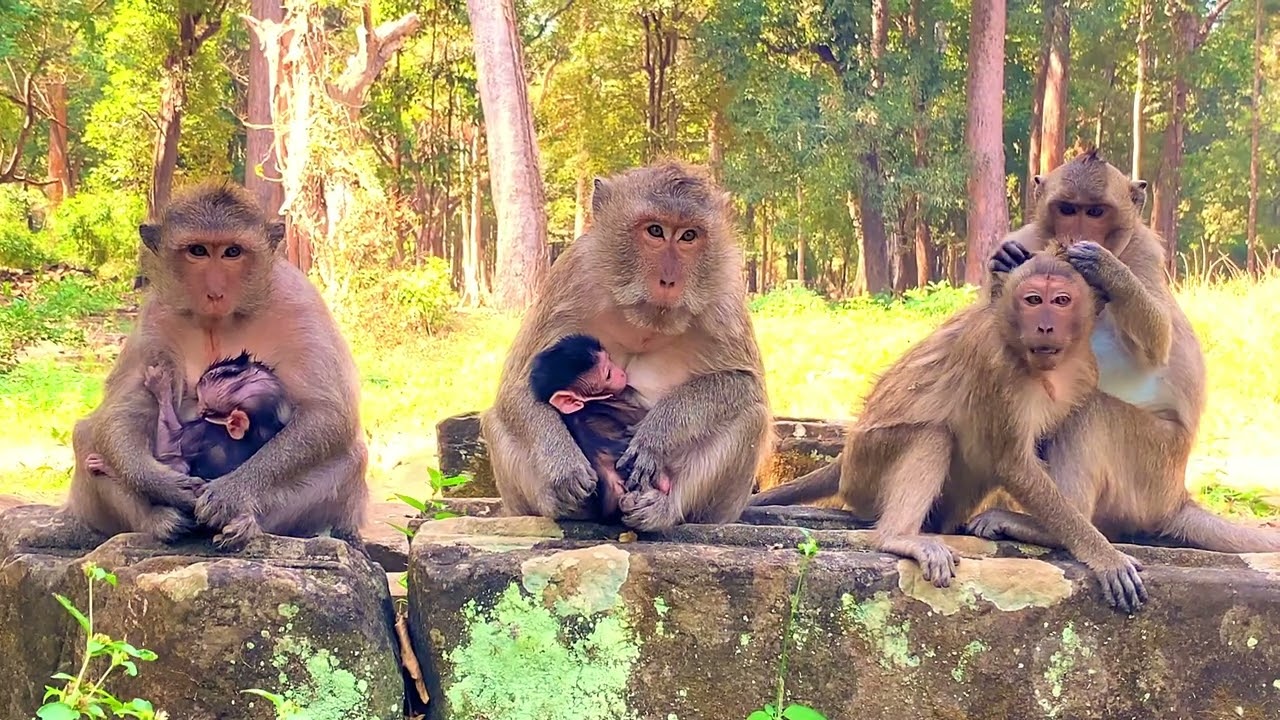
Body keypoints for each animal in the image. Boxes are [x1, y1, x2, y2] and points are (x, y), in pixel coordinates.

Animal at [64, 180, 369, 550]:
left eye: (232, 252)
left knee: (350, 456)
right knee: (87, 435)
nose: (214, 292)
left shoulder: (298, 301)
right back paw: (160, 519)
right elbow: (124, 408)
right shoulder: (156, 314)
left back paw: (245, 522)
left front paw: (232, 493)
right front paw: (162, 484)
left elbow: (328, 412)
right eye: (198, 251)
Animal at [750, 249, 1147, 613]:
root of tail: (846, 456)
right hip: (866, 471)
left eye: (1061, 301)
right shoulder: (994, 364)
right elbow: (1014, 464)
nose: (1046, 326)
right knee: (934, 436)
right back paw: (899, 536)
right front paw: (1105, 554)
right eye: (1033, 300)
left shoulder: (1085, 371)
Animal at [967, 148, 1280, 555]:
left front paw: (1106, 267)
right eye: (1067, 209)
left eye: (1096, 211)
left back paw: (1049, 527)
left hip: (1152, 465)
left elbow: (1159, 341)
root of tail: (1176, 498)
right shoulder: (1023, 238)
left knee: (1091, 413)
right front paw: (1003, 264)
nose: (1080, 233)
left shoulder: (1143, 252)